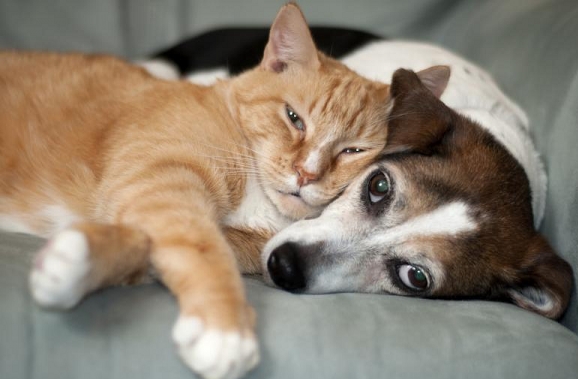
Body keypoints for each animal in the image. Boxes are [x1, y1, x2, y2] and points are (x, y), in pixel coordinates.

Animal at [0, 2, 446, 379]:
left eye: (353, 150)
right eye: (293, 118)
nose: (306, 174)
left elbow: (147, 247)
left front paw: (76, 262)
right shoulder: (163, 180)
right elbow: (202, 248)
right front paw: (224, 329)